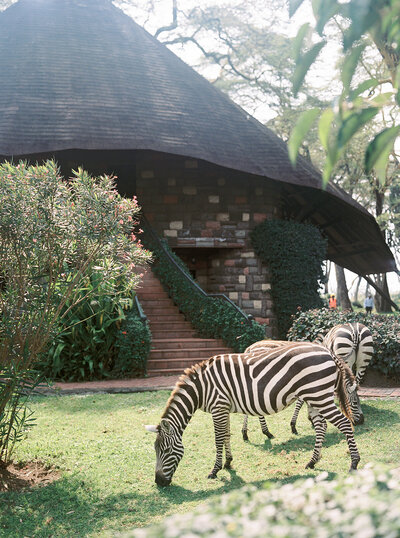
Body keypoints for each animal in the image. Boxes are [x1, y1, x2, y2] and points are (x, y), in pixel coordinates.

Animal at [146, 342, 360, 484]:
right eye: (155, 450)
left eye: (165, 451)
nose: (159, 482)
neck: (202, 389)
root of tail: (328, 351)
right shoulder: (224, 408)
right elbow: (226, 435)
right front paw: (229, 463)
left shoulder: (218, 407)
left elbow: (218, 439)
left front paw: (215, 470)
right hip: (315, 396)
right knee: (321, 426)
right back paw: (312, 462)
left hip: (319, 395)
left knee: (344, 423)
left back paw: (354, 463)